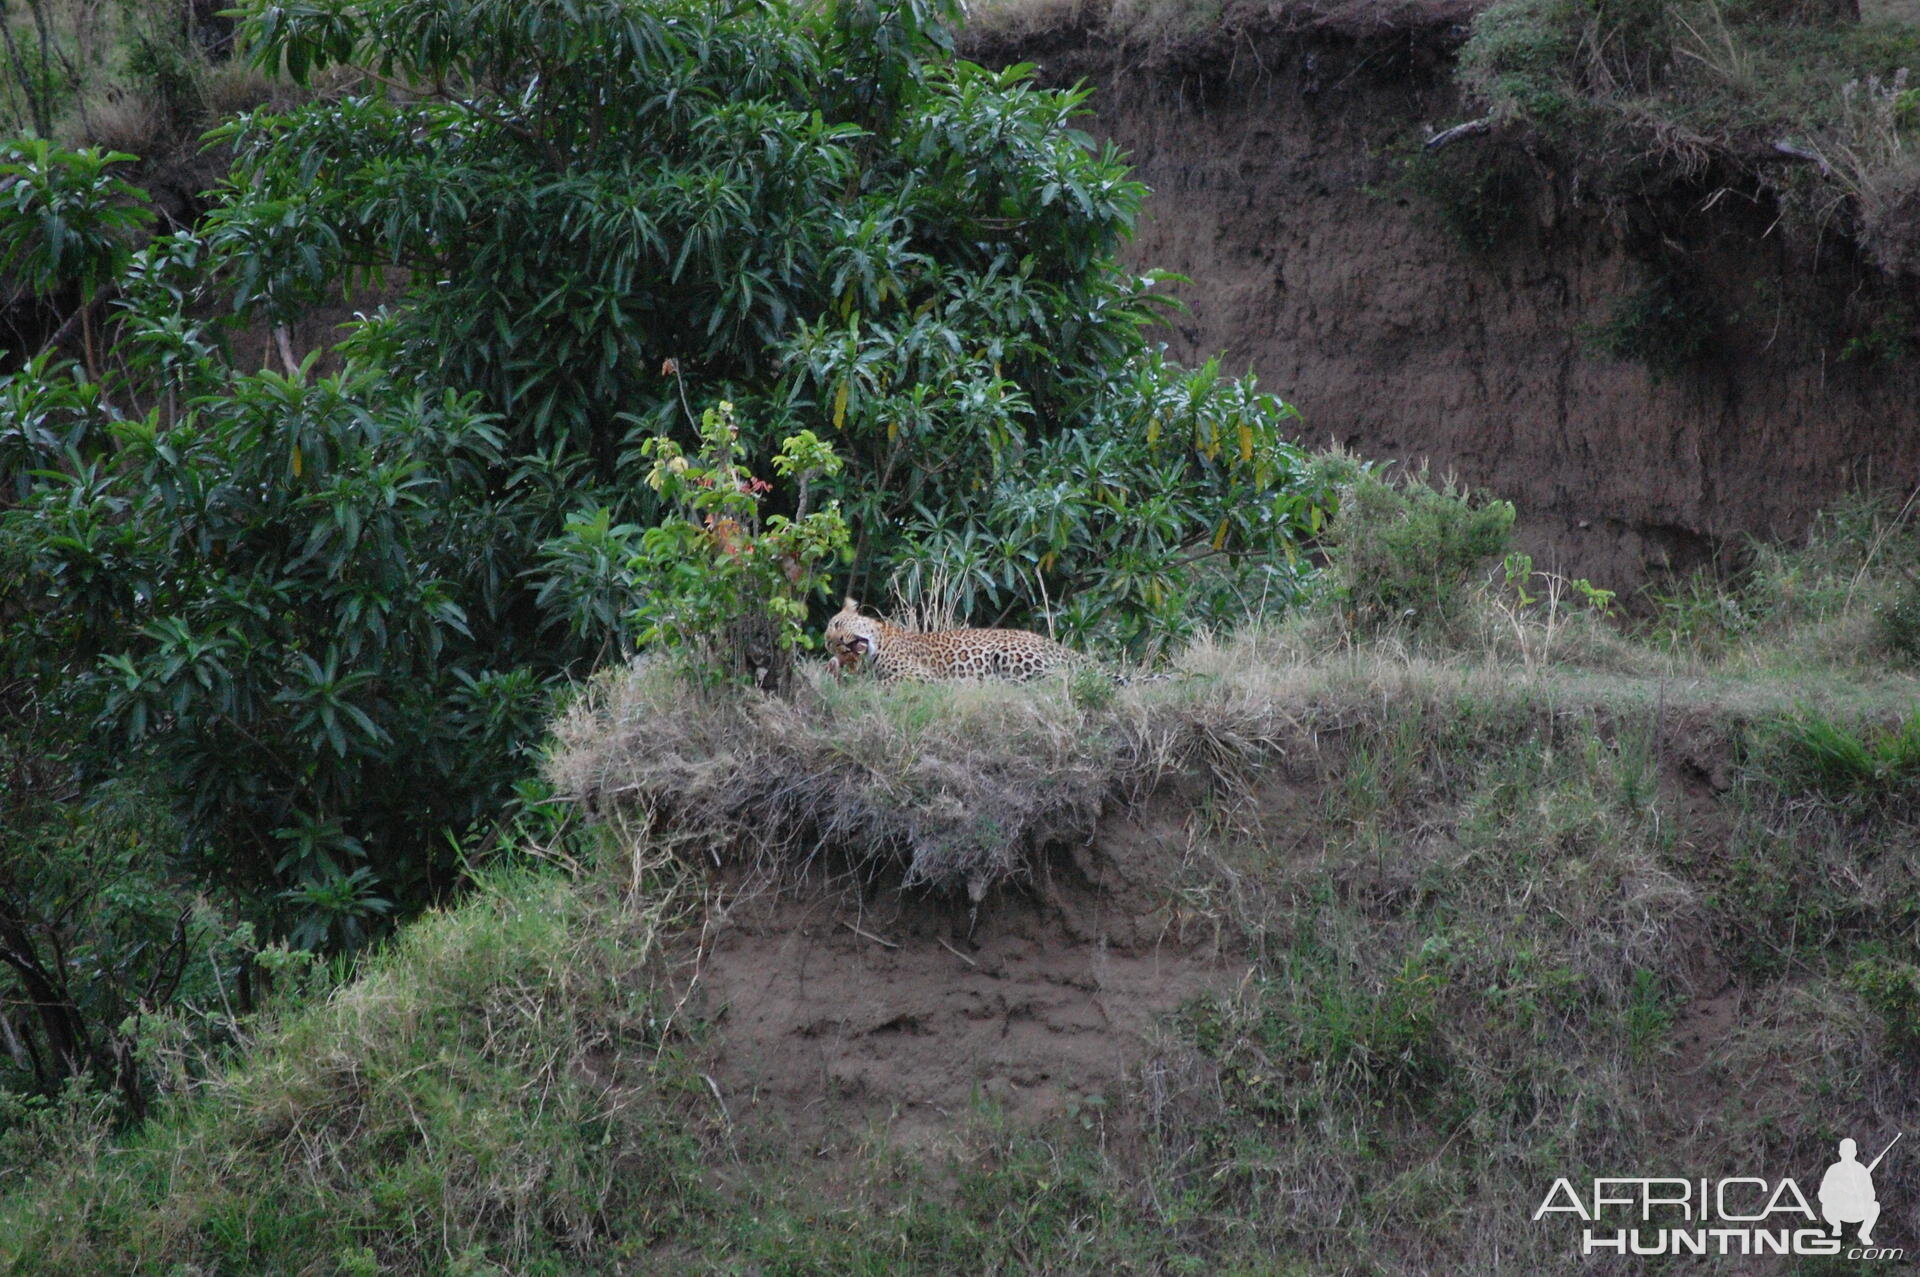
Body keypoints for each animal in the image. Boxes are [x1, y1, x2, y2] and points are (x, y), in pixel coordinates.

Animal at [825, 599, 1090, 687]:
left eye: (839, 625)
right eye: (832, 645)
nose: (842, 643)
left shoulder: (920, 674)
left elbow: (882, 684)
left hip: (1012, 653)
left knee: (1054, 680)